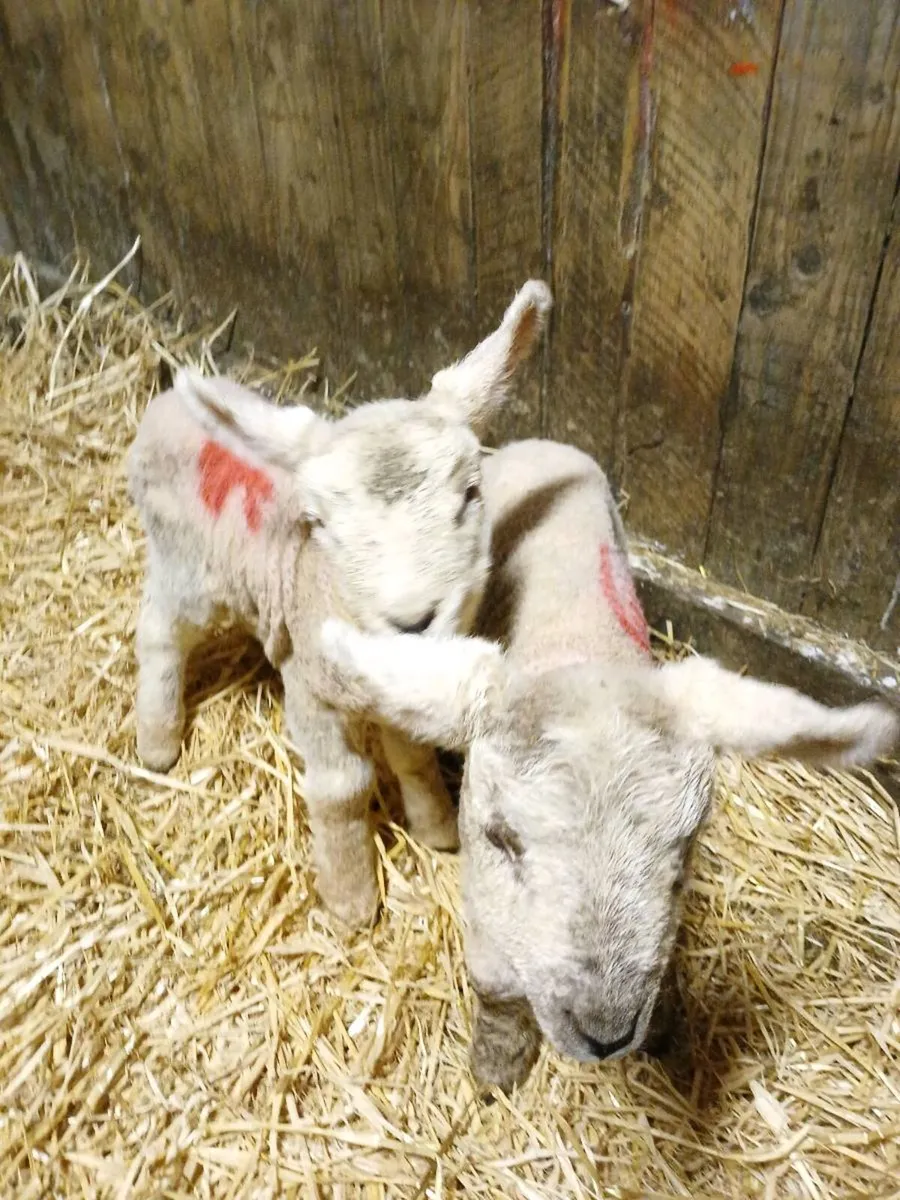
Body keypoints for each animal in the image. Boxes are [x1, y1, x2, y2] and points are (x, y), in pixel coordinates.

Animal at [127, 281, 552, 928]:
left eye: (471, 494)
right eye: (320, 522)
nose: (413, 619)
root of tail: (164, 406)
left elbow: (412, 755)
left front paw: (437, 830)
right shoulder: (312, 688)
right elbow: (341, 789)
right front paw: (351, 899)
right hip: (185, 569)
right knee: (157, 633)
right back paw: (157, 740)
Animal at [317, 438, 900, 1089]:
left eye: (689, 843)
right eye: (501, 839)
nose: (608, 1034)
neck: (580, 649)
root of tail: (544, 445)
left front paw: (662, 1025)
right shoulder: (485, 889)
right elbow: (495, 979)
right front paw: (499, 1053)